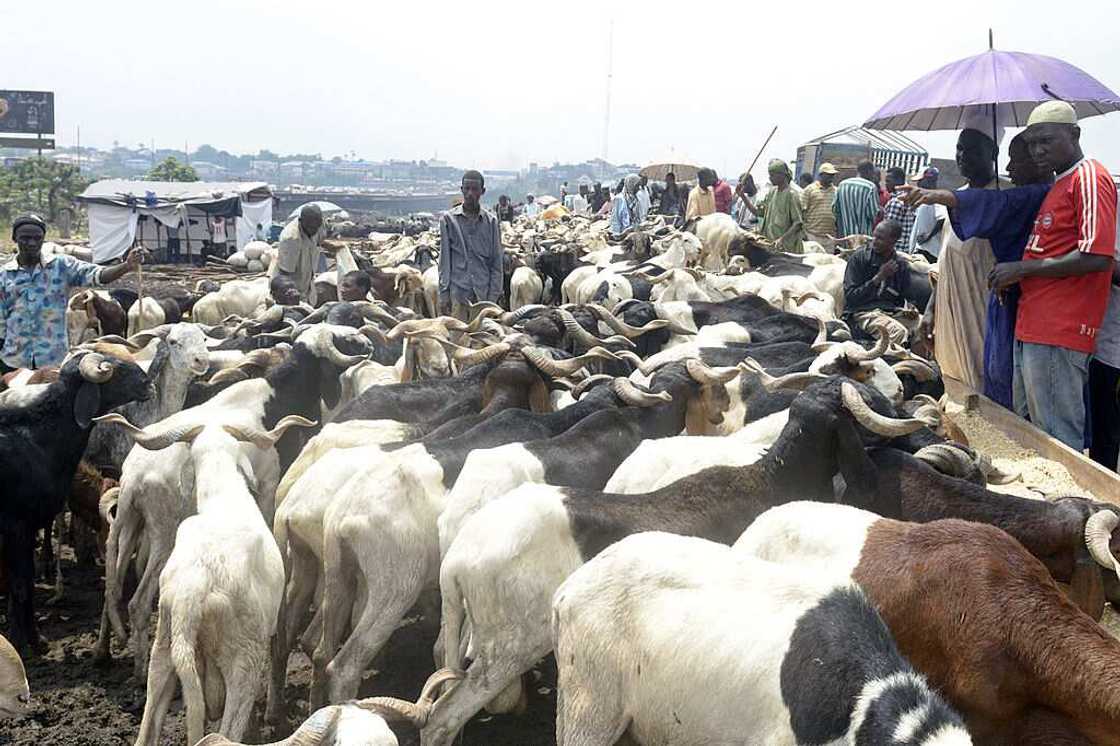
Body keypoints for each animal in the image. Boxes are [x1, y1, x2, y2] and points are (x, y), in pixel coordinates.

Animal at [0, 349, 151, 649]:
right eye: (114, 369)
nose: (147, 383)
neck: (39, 438)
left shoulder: (30, 526)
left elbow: (23, 585)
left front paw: (32, 639)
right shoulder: (16, 525)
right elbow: (20, 586)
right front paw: (25, 643)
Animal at [99, 412, 315, 743]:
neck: (223, 499)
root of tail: (192, 596)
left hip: (164, 650)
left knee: (147, 729)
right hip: (244, 664)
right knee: (227, 731)